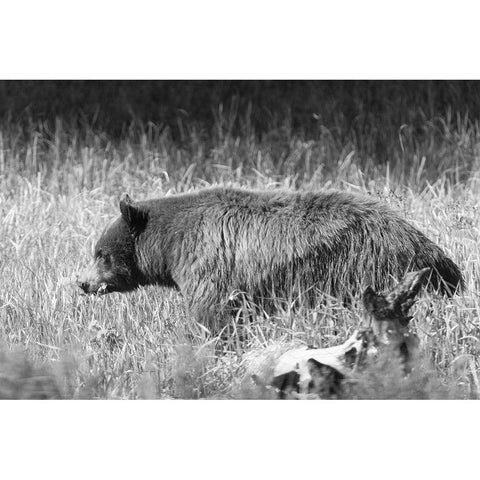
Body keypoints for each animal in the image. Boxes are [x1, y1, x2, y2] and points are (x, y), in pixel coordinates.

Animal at [77, 187, 464, 326]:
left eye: (100, 253)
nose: (82, 282)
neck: (171, 245)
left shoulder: (208, 264)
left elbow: (211, 313)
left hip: (363, 266)